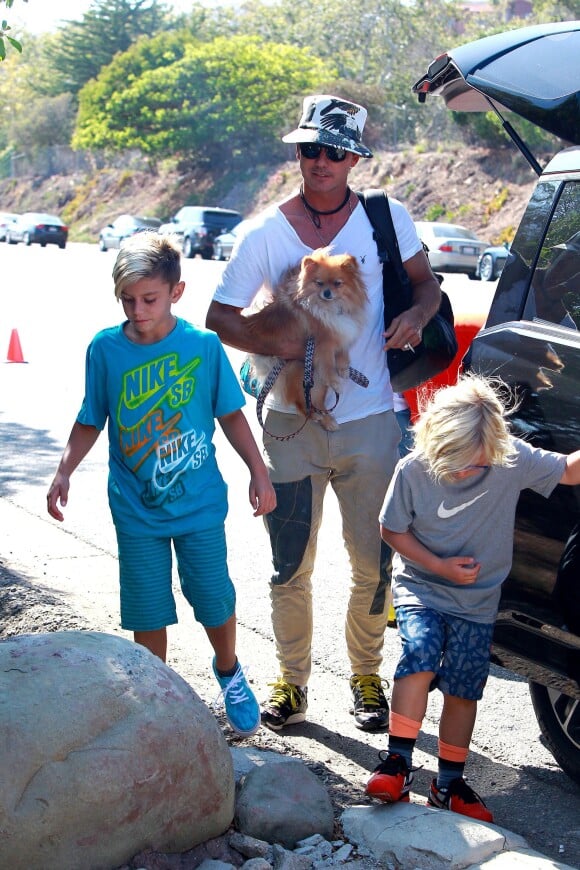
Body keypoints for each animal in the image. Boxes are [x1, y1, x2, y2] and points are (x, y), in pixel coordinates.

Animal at [245, 247, 368, 430]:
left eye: (337, 283)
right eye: (319, 283)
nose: (326, 292)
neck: (330, 307)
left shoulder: (341, 333)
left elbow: (342, 353)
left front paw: (344, 369)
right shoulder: (322, 343)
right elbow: (328, 365)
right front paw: (336, 381)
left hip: (315, 380)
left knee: (316, 402)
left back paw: (328, 421)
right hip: (300, 372)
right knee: (302, 404)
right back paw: (316, 416)